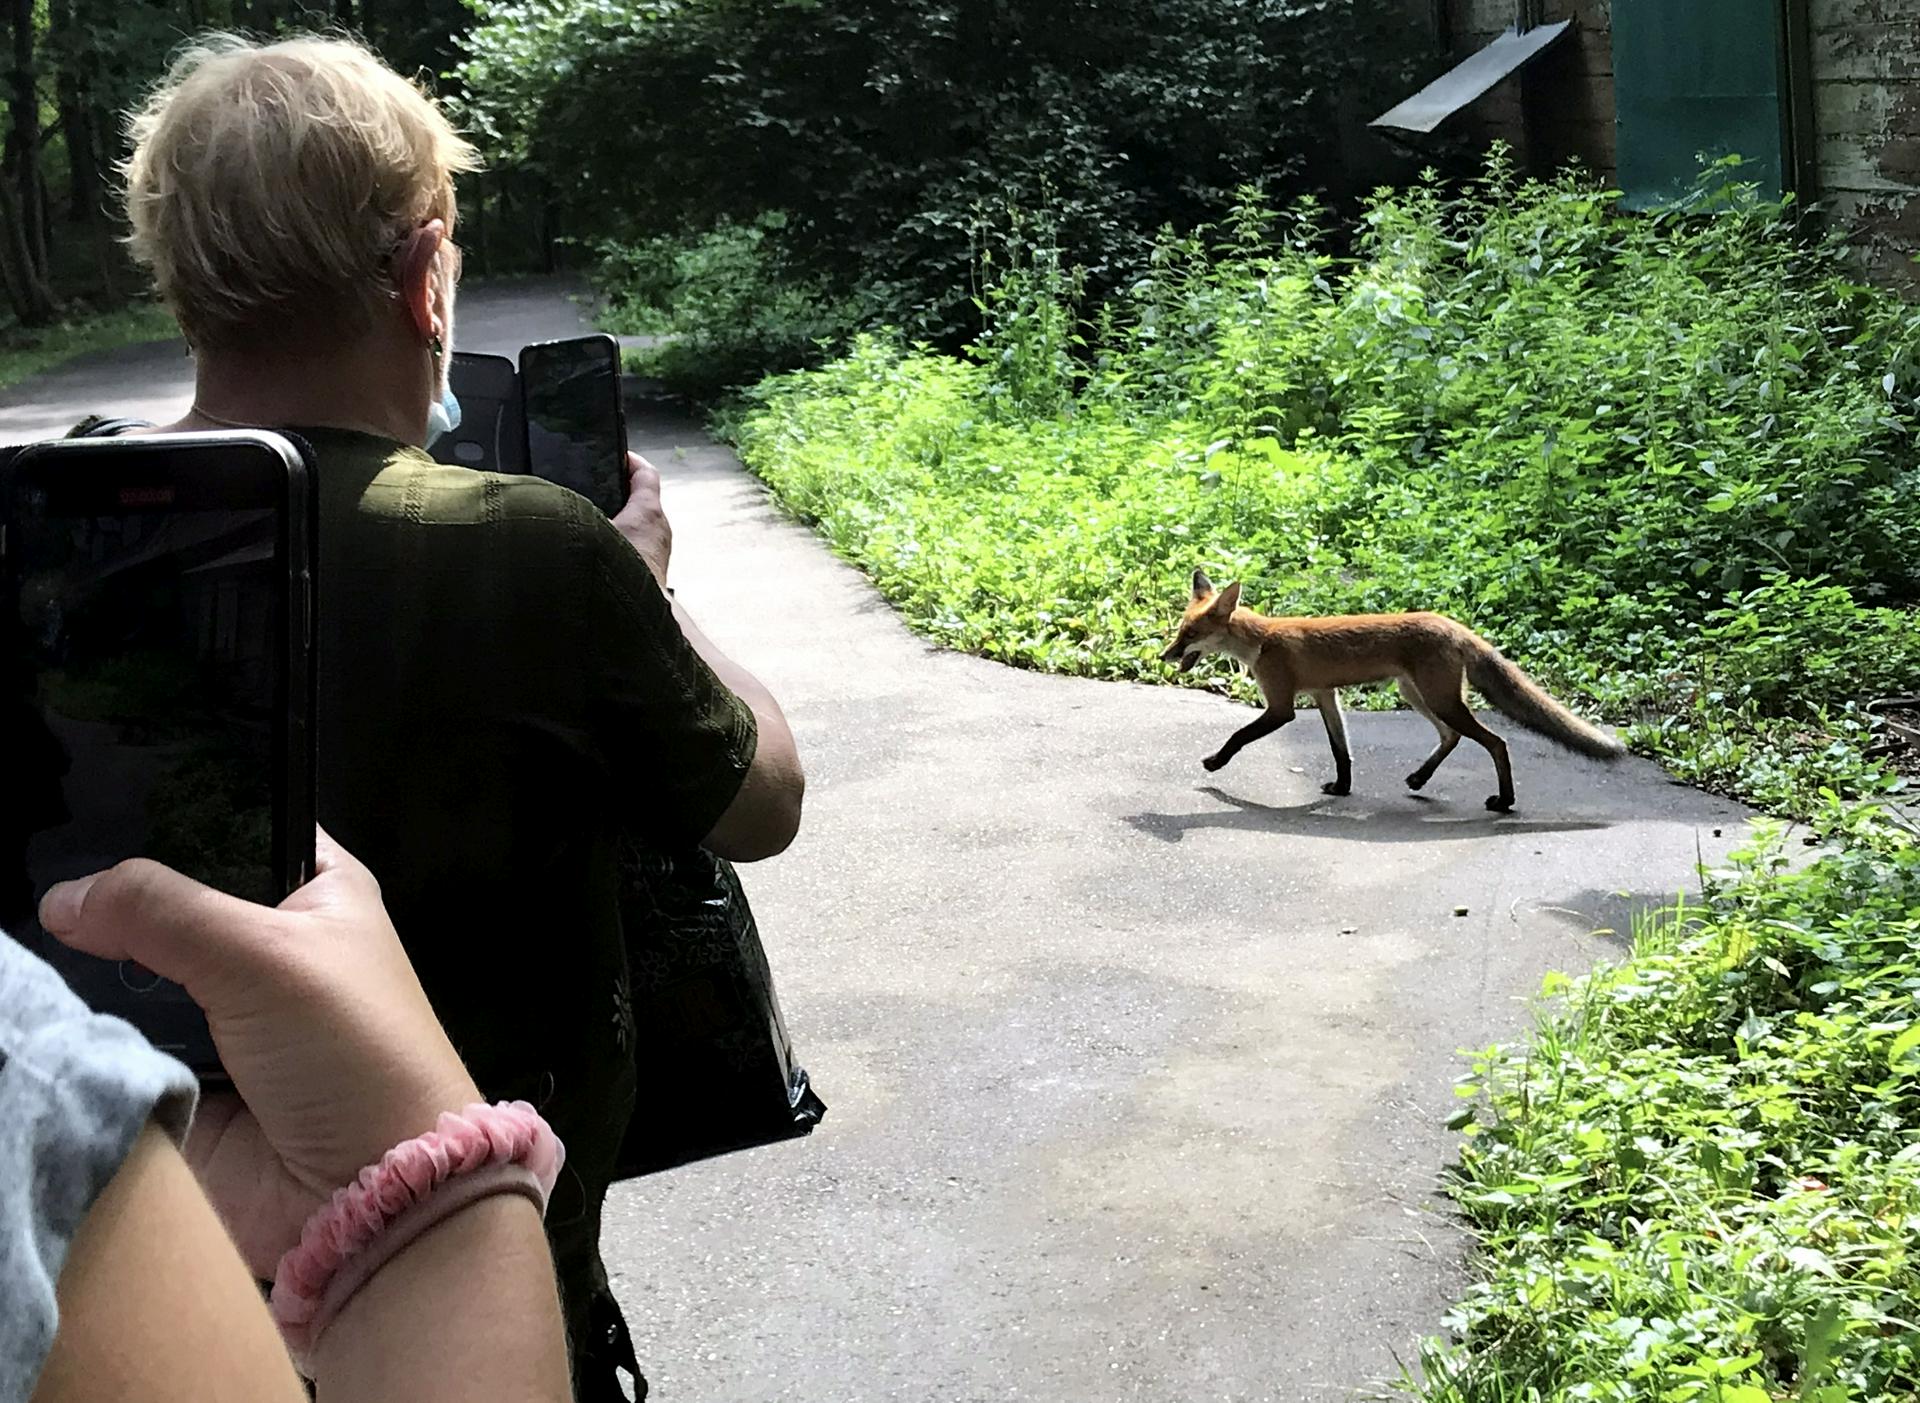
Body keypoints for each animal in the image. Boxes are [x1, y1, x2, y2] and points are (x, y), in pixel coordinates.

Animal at [1159, 571, 1628, 813]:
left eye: (1190, 635)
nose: (1164, 655)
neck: (1263, 640)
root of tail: (1452, 624)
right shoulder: (1325, 696)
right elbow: (1341, 750)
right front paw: (1342, 788)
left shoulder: (1281, 707)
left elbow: (1239, 736)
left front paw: (1216, 763)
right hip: (1417, 695)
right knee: (1451, 737)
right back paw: (1420, 777)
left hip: (1439, 700)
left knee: (1496, 741)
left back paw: (1504, 800)